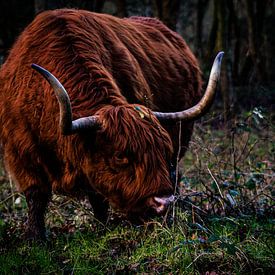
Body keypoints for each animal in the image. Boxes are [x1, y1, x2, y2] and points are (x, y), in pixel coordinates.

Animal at [0, 9, 224, 239]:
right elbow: (36, 197)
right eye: (120, 156)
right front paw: (36, 238)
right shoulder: (21, 152)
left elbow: (98, 197)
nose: (163, 202)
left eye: (164, 150)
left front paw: (104, 227)